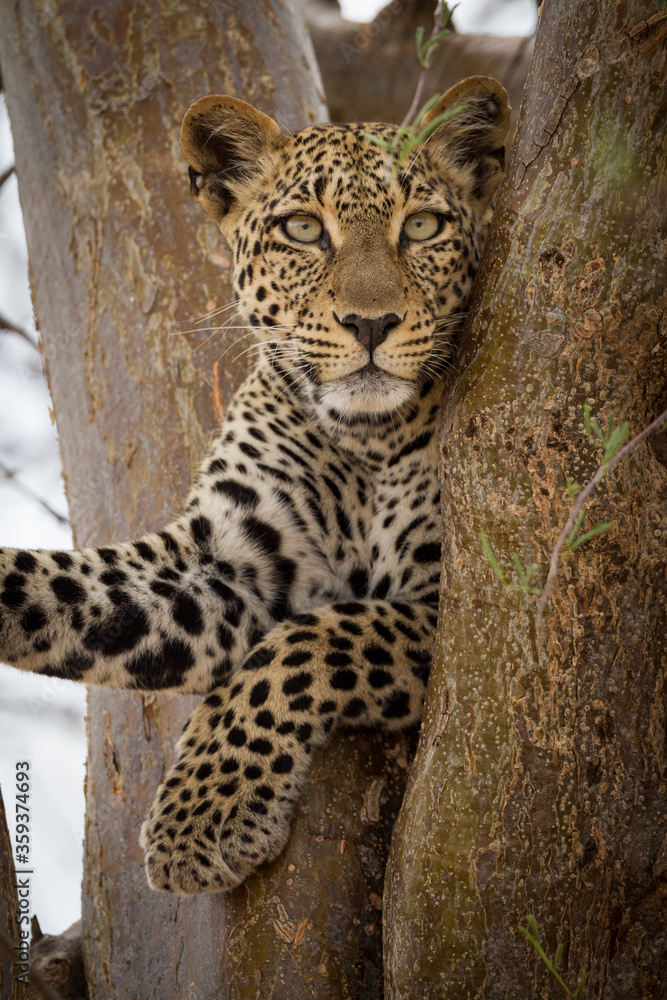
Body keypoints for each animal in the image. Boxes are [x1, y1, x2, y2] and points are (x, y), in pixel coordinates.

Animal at [0, 76, 510, 895]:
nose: (372, 324)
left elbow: (311, 639)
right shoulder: (227, 564)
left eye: (423, 225)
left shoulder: (447, 603)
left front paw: (202, 814)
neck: (364, 438)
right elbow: (67, 592)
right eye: (303, 229)